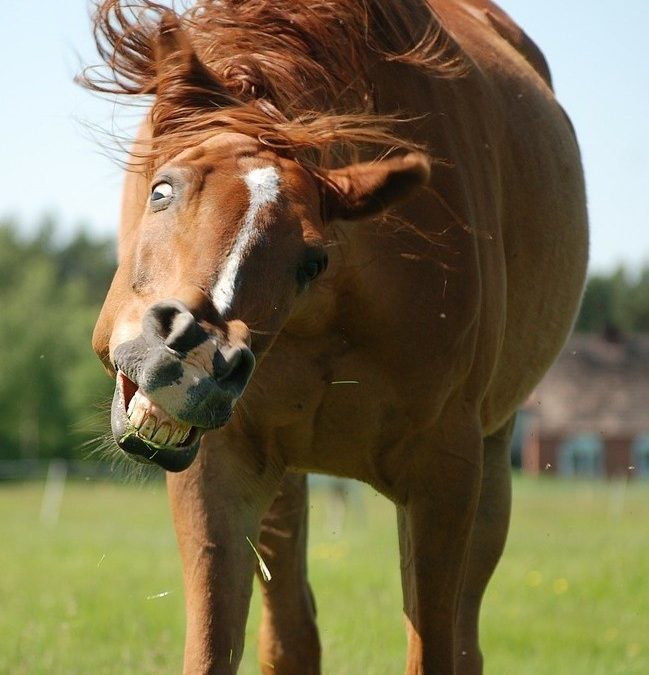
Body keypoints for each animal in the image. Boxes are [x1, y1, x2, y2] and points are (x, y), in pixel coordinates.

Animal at [81, 2, 588, 672]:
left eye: (311, 261)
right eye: (162, 191)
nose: (194, 358)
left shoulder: (446, 473)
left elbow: (435, 648)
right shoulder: (218, 469)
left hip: (490, 467)